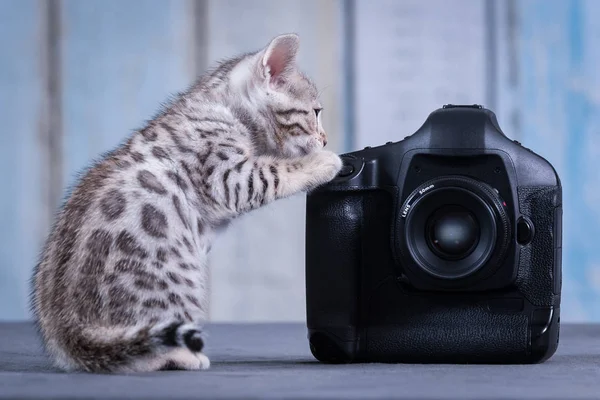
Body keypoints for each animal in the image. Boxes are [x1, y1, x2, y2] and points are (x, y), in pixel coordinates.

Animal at [29, 32, 342, 374]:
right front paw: (324, 162)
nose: (325, 139)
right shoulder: (226, 175)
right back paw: (182, 356)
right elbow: (274, 171)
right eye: (315, 112)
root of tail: (69, 334)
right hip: (174, 284)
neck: (219, 106)